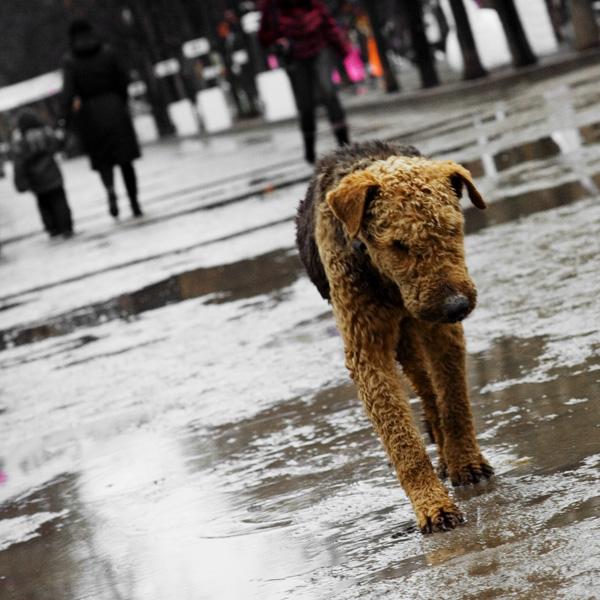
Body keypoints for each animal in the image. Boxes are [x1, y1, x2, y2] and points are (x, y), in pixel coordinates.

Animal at [298, 142, 494, 536]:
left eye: (452, 228)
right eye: (398, 244)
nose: (456, 305)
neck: (388, 281)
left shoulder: (442, 332)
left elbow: (455, 403)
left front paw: (467, 463)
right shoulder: (366, 349)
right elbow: (402, 438)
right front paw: (434, 507)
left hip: (416, 332)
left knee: (434, 396)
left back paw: (448, 454)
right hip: (405, 340)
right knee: (425, 393)